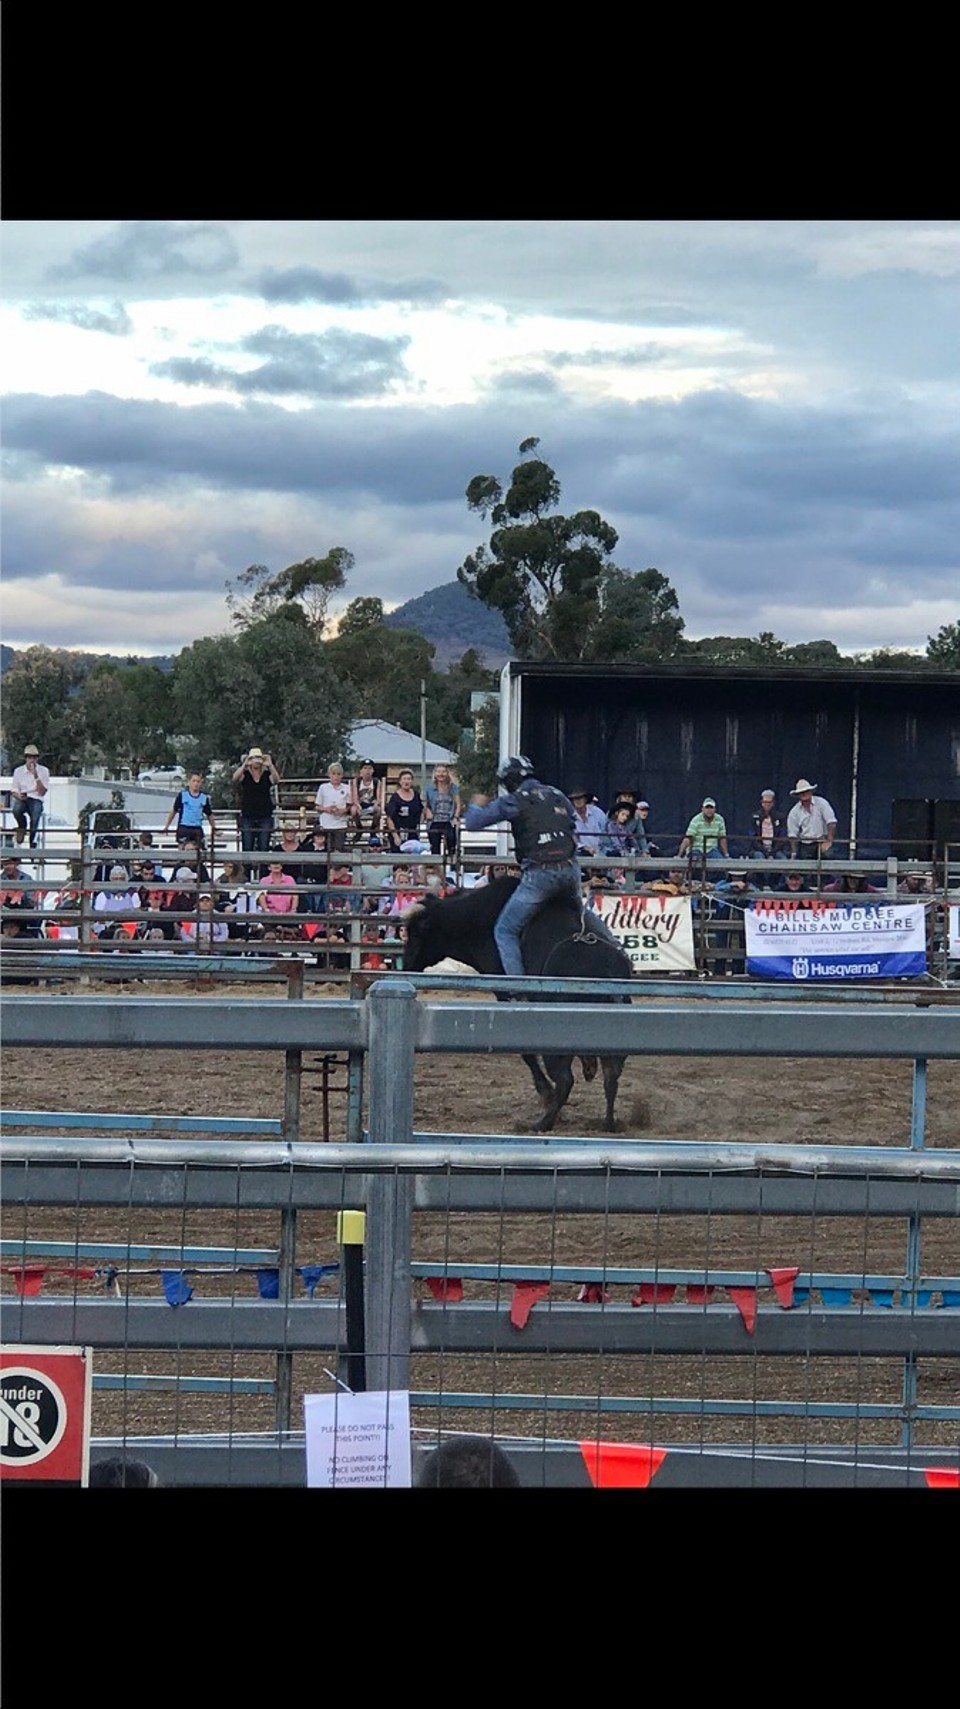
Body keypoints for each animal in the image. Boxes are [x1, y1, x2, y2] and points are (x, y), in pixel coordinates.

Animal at [399, 875, 632, 1127]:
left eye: (414, 932)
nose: (406, 966)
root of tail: (605, 967)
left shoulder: (505, 993)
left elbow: (527, 1052)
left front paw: (545, 1092)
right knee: (611, 1075)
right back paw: (608, 1121)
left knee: (566, 1079)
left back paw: (543, 1121)